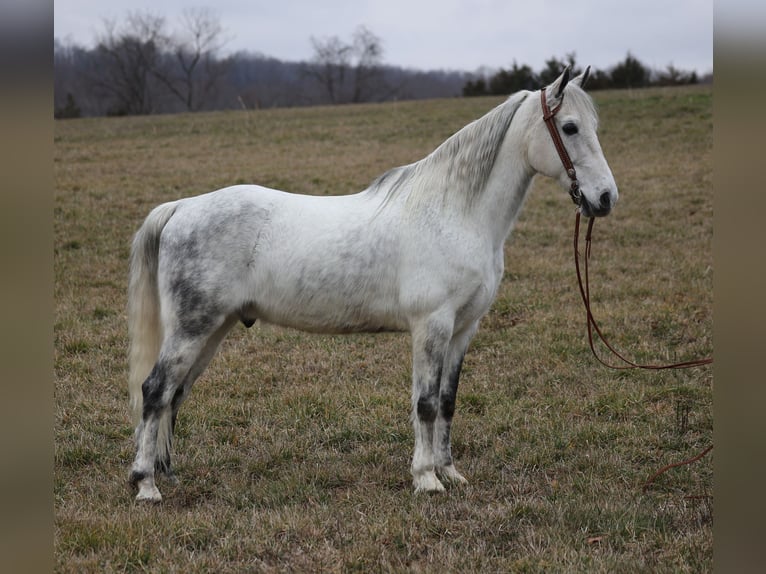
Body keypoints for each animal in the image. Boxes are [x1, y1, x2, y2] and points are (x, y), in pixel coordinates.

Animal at [126, 67, 616, 502]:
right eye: (569, 127)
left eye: (595, 126)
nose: (606, 198)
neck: (454, 212)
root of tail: (182, 207)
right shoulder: (431, 326)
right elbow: (425, 402)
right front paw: (426, 479)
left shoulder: (463, 329)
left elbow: (448, 400)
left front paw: (450, 472)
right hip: (192, 329)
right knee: (155, 390)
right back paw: (146, 485)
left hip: (214, 328)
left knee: (175, 394)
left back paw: (166, 474)